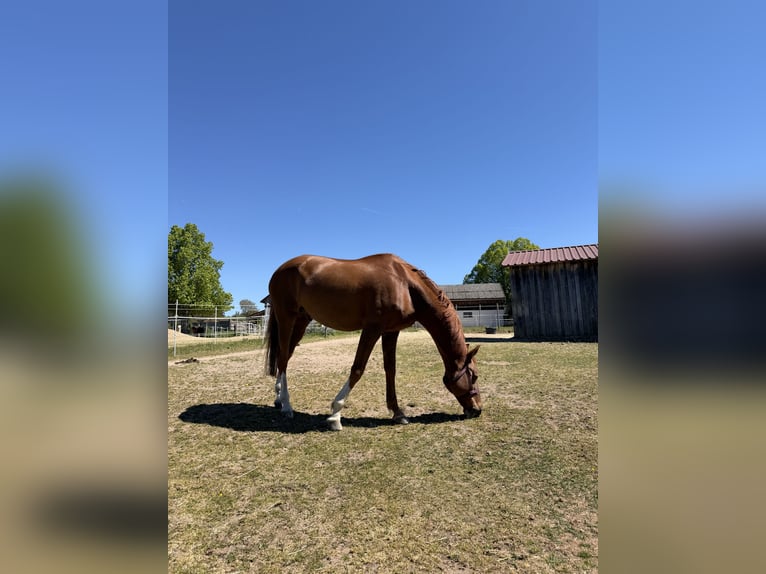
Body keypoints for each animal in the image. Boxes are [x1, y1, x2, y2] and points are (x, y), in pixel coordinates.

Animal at [264, 253, 482, 431]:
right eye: (475, 376)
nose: (478, 410)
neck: (404, 285)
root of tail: (279, 270)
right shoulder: (372, 329)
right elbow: (358, 369)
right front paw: (335, 414)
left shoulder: (391, 332)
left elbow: (390, 369)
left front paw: (398, 413)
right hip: (286, 318)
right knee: (283, 357)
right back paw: (287, 406)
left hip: (301, 320)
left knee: (286, 356)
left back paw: (278, 398)